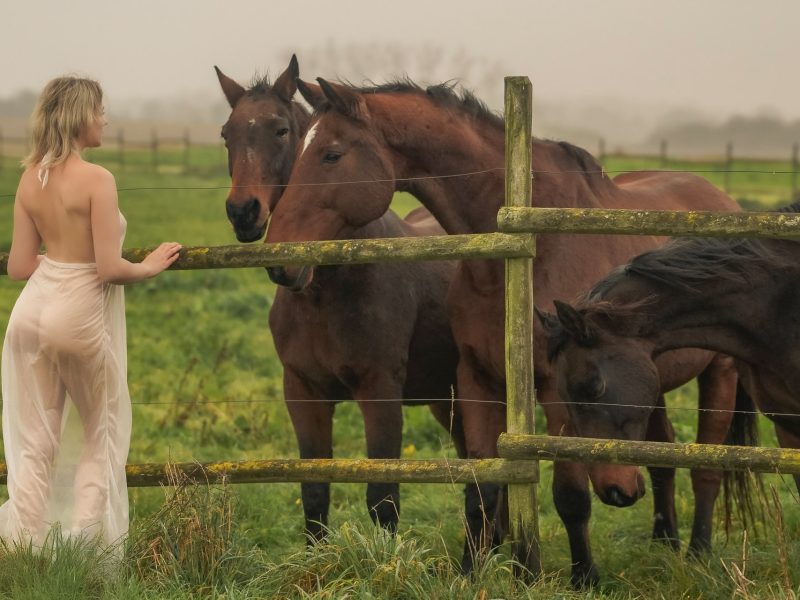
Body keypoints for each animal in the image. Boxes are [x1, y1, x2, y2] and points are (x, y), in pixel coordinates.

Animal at [216, 58, 462, 540]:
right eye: (226, 134)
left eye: (281, 130)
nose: (242, 213)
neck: (324, 291)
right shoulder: (303, 394)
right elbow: (315, 494)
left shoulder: (380, 393)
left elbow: (383, 501)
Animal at [268, 76, 744, 584]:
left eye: (331, 154)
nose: (279, 259)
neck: (525, 252)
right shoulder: (478, 380)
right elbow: (482, 487)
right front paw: (474, 572)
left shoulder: (558, 391)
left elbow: (570, 495)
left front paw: (582, 577)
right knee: (662, 456)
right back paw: (665, 544)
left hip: (721, 371)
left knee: (707, 468)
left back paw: (698, 553)